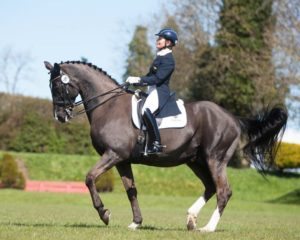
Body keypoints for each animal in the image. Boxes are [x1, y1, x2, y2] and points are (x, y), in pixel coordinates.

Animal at [44, 61, 286, 232]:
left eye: (57, 86)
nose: (60, 116)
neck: (109, 106)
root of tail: (234, 118)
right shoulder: (122, 160)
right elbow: (131, 190)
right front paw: (136, 223)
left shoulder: (113, 154)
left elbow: (90, 178)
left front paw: (104, 214)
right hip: (196, 161)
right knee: (210, 187)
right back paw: (191, 219)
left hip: (215, 159)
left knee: (223, 190)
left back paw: (208, 228)